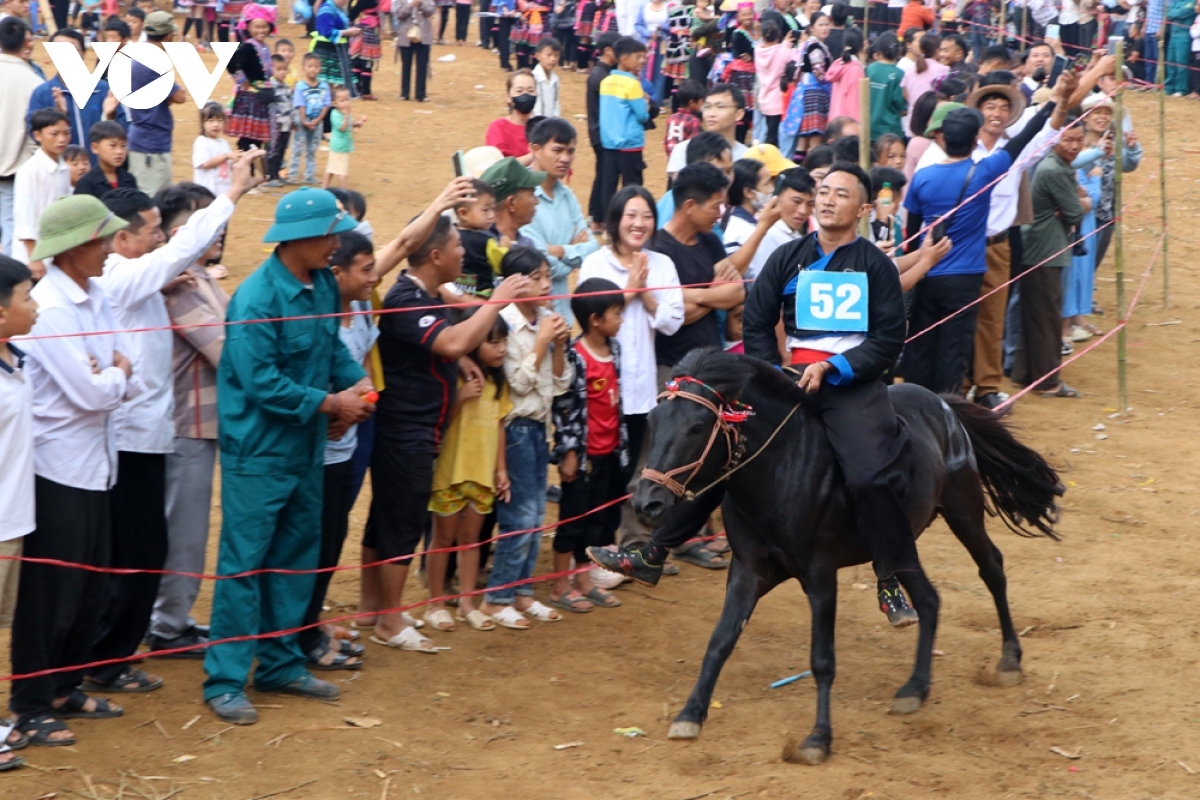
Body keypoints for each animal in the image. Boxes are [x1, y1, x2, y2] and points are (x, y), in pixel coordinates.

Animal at [633, 350, 1065, 762]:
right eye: (652, 420)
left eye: (697, 427)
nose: (646, 503)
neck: (782, 472)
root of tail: (942, 402)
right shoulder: (748, 571)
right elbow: (720, 640)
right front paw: (690, 714)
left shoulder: (821, 576)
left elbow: (822, 659)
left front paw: (818, 739)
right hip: (900, 541)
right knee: (929, 599)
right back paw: (915, 687)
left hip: (963, 510)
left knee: (991, 568)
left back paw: (1009, 660)